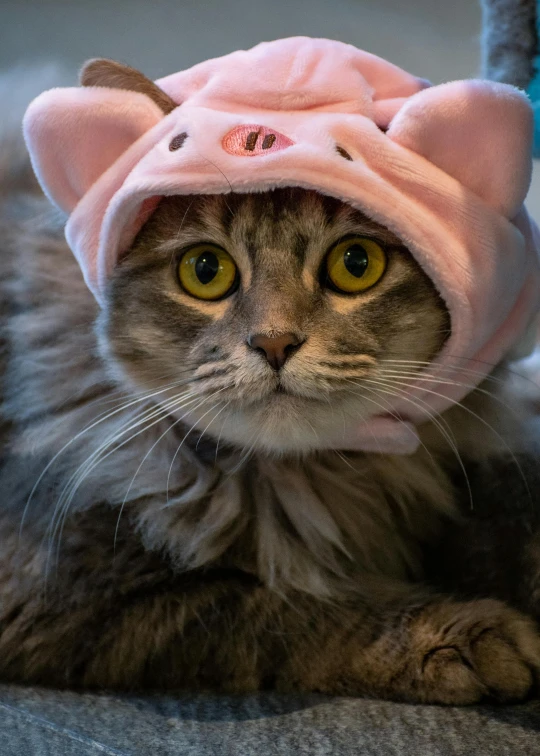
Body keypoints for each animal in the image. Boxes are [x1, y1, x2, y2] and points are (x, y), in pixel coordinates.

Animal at [0, 60, 536, 708]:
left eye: (357, 264)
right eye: (205, 270)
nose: (275, 343)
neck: (302, 481)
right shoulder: (73, 594)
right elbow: (298, 605)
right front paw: (469, 634)